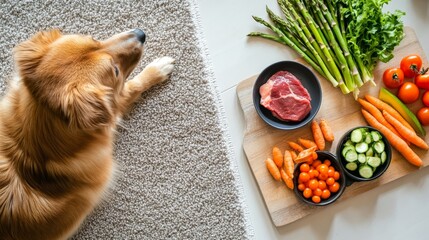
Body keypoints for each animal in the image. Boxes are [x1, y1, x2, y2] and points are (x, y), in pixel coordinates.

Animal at [0, 29, 174, 239]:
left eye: (94, 39)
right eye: (115, 71)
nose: (141, 34)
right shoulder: (111, 112)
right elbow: (131, 87)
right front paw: (157, 69)